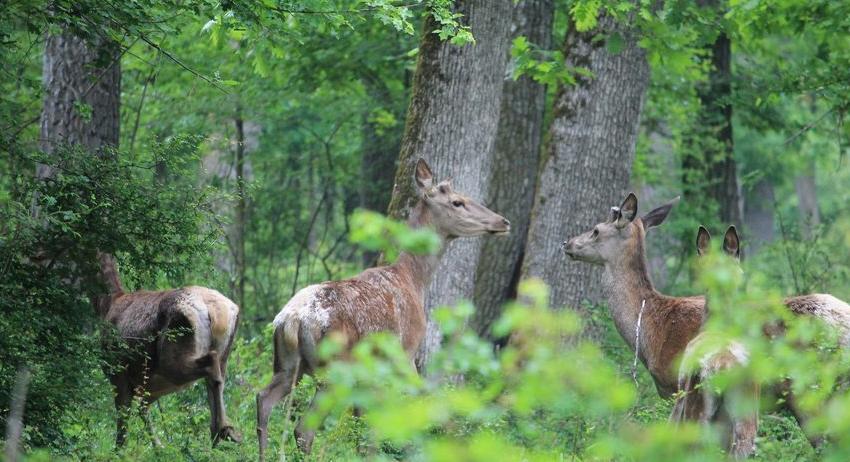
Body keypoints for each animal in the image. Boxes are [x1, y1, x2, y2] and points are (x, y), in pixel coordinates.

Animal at [93, 253, 242, 448]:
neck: (107, 304)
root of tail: (216, 311)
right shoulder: (148, 384)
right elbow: (143, 409)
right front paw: (159, 448)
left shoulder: (118, 370)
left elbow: (123, 418)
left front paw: (120, 450)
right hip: (222, 352)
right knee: (217, 378)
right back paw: (222, 433)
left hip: (173, 354)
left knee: (210, 366)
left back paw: (222, 430)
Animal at [255, 158, 506, 458]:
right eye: (458, 202)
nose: (503, 221)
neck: (414, 279)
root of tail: (292, 320)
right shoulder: (405, 353)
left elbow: (363, 427)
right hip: (335, 369)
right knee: (304, 428)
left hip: (287, 364)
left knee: (263, 400)